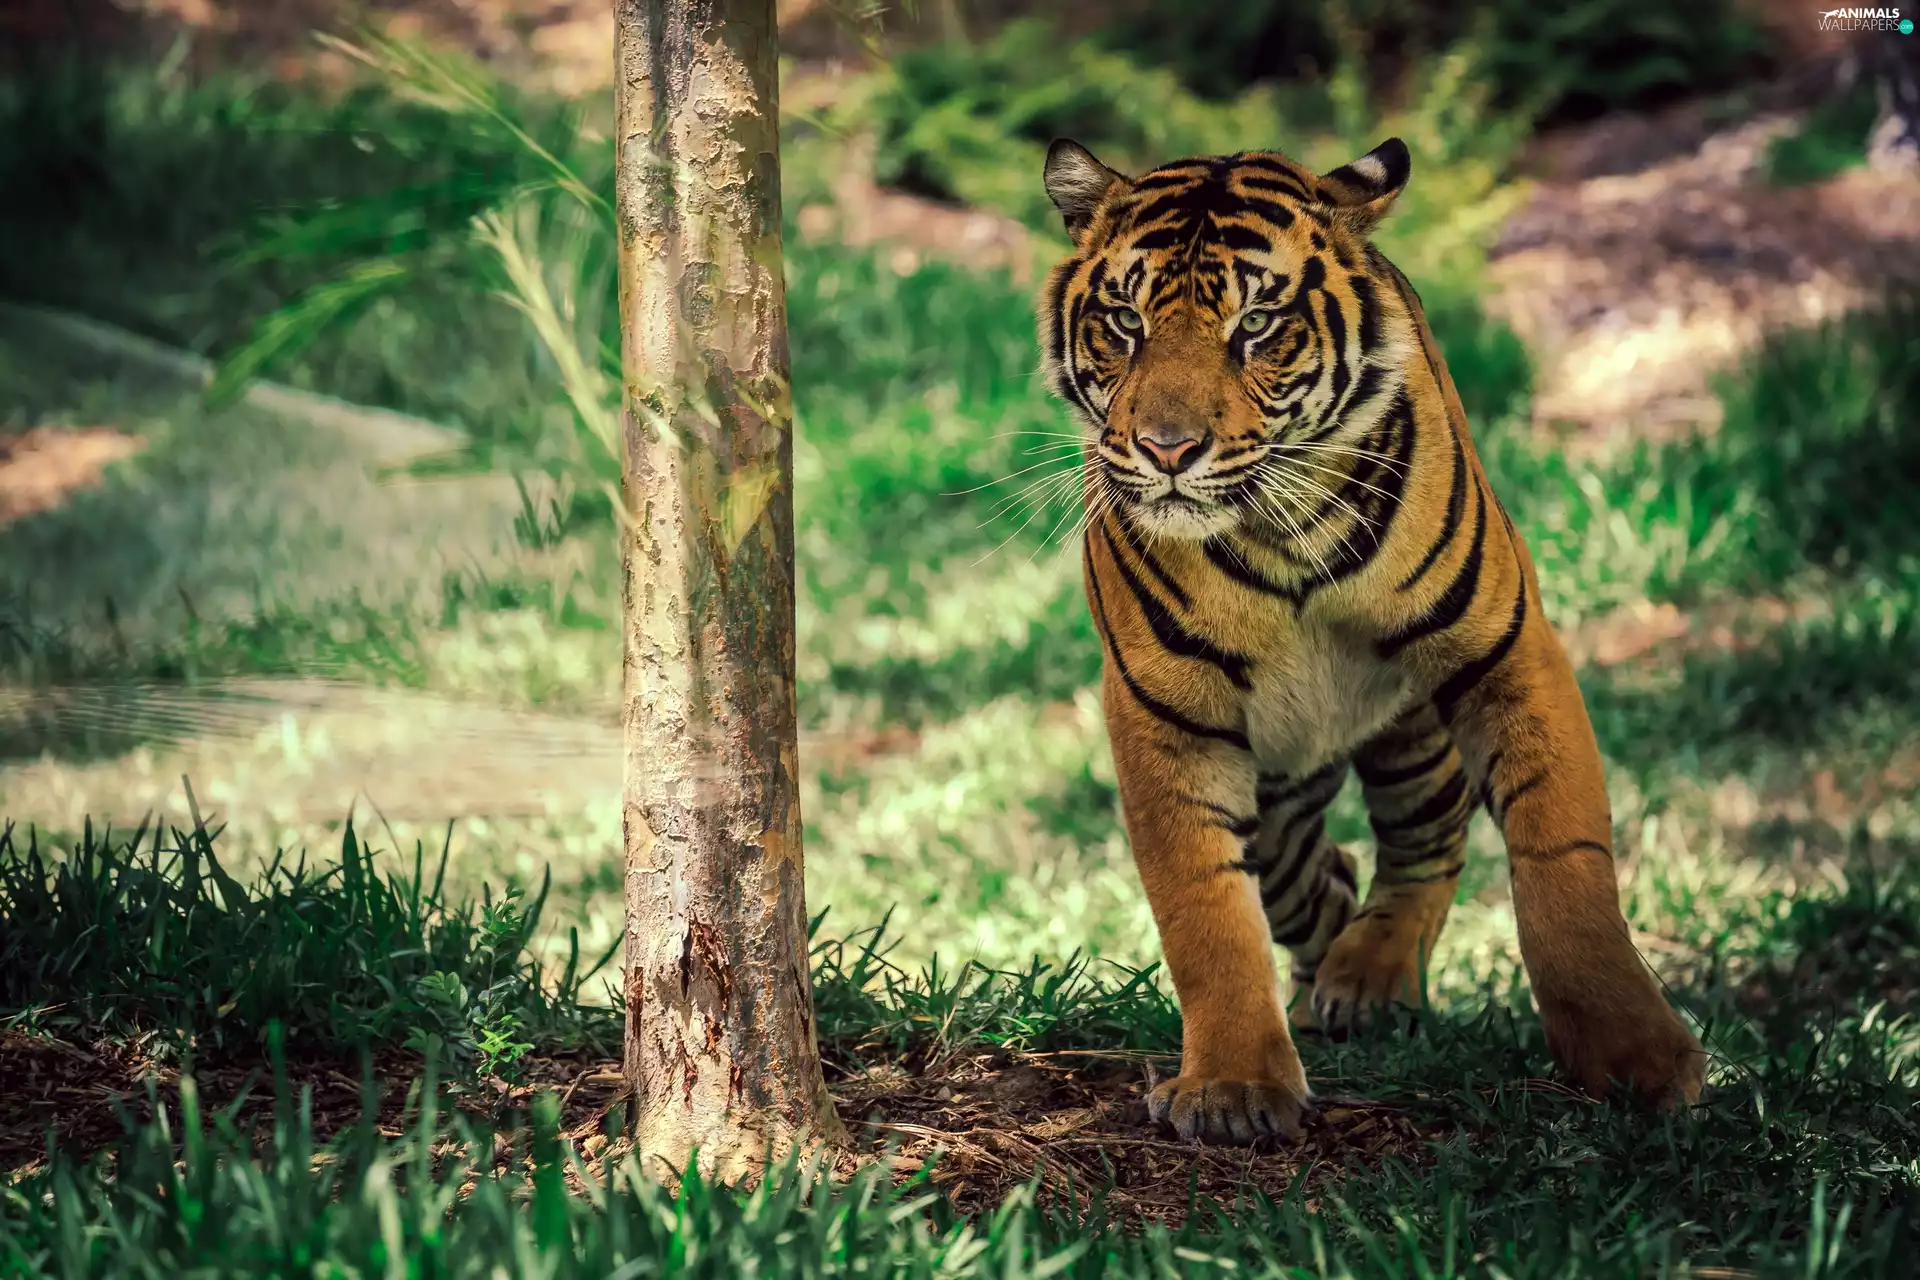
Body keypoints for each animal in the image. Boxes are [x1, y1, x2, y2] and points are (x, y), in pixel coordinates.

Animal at [1035, 136, 1708, 1144]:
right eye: (1124, 321)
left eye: (1257, 325)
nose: (1167, 449)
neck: (1278, 534)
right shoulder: (1167, 712)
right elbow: (1203, 907)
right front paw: (1234, 1086)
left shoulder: (1506, 649)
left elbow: (1564, 863)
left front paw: (1637, 1058)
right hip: (1283, 780)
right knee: (1314, 872)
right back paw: (1327, 985)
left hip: (1411, 731)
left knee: (1427, 845)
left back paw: (1369, 978)